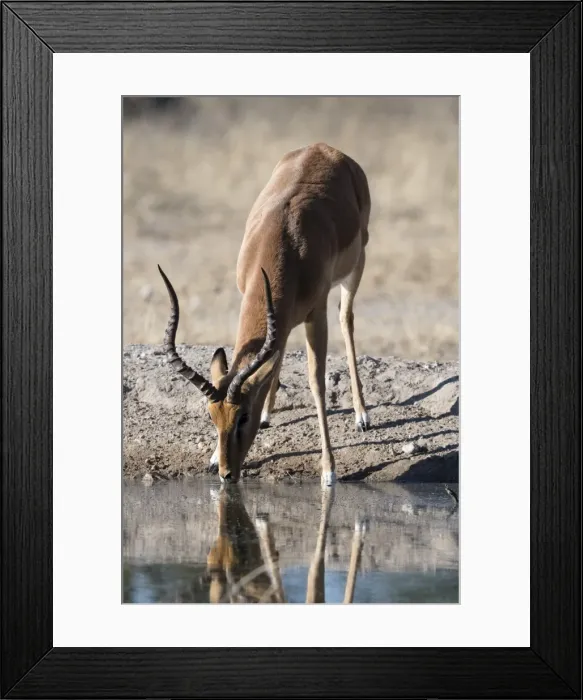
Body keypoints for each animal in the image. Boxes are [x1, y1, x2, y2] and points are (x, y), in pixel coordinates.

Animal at [158, 142, 371, 485]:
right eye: (211, 416)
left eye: (244, 416)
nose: (227, 474)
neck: (283, 240)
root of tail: (324, 148)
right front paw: (213, 456)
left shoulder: (317, 312)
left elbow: (316, 381)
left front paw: (329, 470)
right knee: (278, 350)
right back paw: (270, 413)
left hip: (356, 267)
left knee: (346, 319)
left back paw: (362, 415)